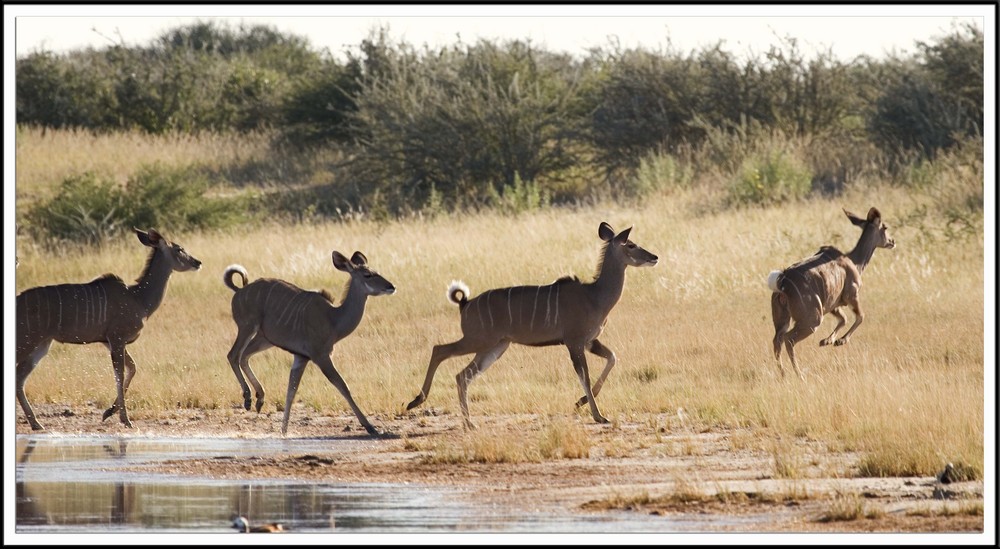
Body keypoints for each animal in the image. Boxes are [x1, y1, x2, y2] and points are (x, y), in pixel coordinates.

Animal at [15, 227, 201, 428]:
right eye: (179, 249)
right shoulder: (117, 338)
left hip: (41, 344)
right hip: (27, 340)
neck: (138, 298)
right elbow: (120, 374)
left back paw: (36, 423)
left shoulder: (109, 341)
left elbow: (132, 367)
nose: (197, 262)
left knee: (19, 378)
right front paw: (125, 419)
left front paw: (108, 412)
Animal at [223, 250, 394, 434]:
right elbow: (342, 385)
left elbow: (291, 391)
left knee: (244, 356)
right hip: (247, 327)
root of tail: (239, 291)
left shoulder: (301, 357)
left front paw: (284, 431)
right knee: (233, 355)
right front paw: (370, 427)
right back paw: (248, 398)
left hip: (263, 339)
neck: (333, 319)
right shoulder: (321, 356)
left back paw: (259, 399)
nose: (391, 286)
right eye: (367, 275)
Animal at [406, 220, 656, 426]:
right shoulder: (574, 341)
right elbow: (584, 375)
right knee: (440, 350)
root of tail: (464, 304)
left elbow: (612, 357)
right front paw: (598, 415)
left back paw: (469, 424)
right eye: (630, 244)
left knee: (462, 375)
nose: (654, 257)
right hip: (478, 340)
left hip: (495, 347)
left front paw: (581, 402)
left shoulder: (589, 341)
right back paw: (416, 401)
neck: (594, 296)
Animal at [764, 206, 900, 376]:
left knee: (777, 339)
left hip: (783, 317)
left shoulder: (833, 304)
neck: (855, 262)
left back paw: (783, 374)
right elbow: (860, 316)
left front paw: (826, 341)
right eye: (885, 227)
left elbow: (843, 319)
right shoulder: (851, 294)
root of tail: (781, 282)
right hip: (813, 318)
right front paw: (840, 341)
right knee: (788, 339)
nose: (892, 241)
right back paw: (799, 374)